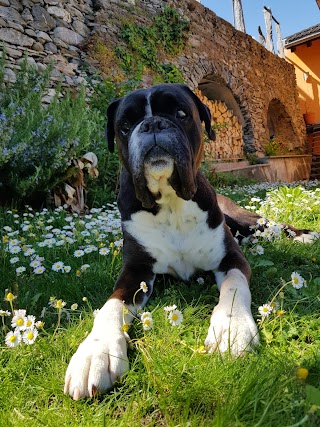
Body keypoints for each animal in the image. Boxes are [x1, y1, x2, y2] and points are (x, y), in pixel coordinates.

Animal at [63, 84, 314, 402]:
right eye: (125, 126)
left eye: (181, 114)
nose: (153, 124)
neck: (171, 202)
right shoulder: (135, 271)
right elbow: (112, 306)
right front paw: (96, 351)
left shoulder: (230, 259)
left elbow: (233, 288)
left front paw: (231, 328)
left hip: (248, 220)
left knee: (270, 225)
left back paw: (304, 235)